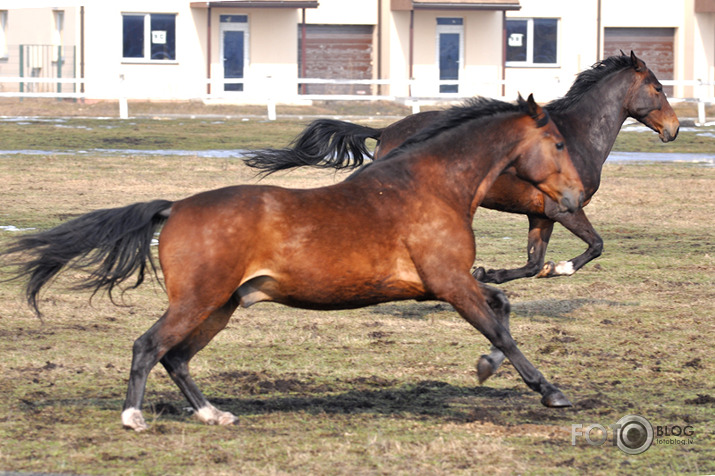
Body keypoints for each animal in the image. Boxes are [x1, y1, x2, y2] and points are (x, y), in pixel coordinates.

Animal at [2, 94, 584, 432]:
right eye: (557, 142)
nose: (576, 198)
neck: (431, 186)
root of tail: (175, 208)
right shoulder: (448, 283)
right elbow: (501, 325)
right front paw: (551, 392)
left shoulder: (443, 285)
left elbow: (501, 306)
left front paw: (488, 367)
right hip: (199, 300)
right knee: (149, 346)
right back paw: (133, 417)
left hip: (220, 306)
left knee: (178, 358)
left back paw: (214, 414)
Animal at [243, 51, 680, 284]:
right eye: (658, 88)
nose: (674, 129)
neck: (575, 136)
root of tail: (386, 130)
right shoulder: (566, 209)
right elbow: (595, 245)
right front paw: (561, 268)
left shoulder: (542, 215)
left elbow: (530, 263)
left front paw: (490, 273)